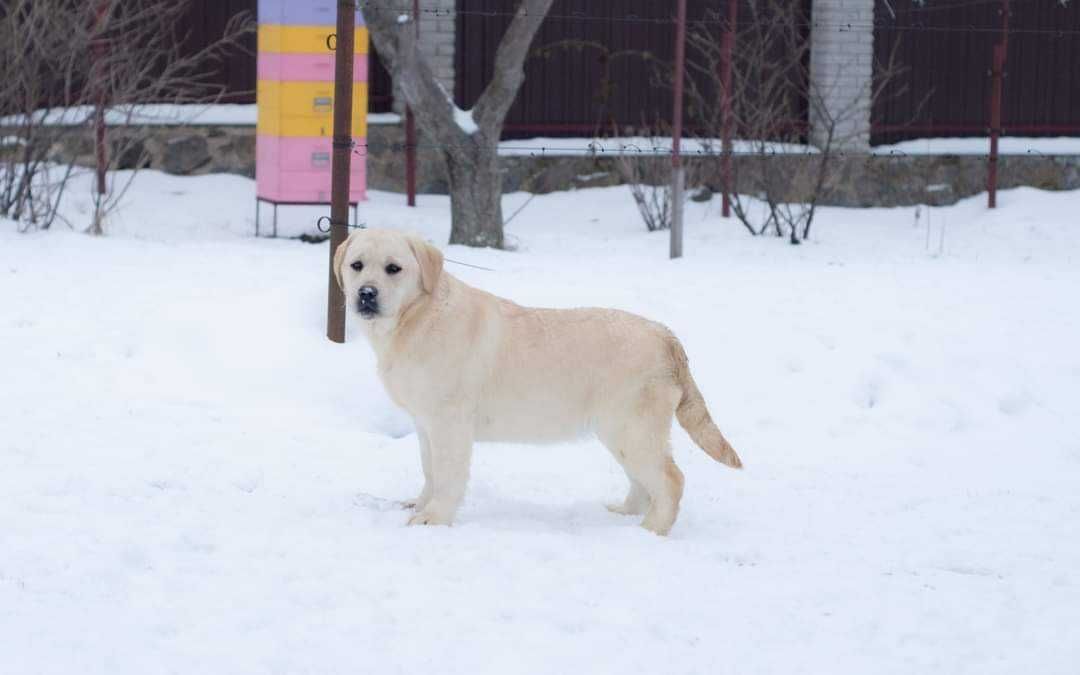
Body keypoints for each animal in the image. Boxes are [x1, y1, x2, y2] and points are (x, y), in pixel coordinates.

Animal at [334, 228, 743, 533]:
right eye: (357, 266)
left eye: (393, 268)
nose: (365, 294)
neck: (417, 316)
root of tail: (665, 334)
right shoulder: (425, 425)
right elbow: (430, 471)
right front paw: (419, 505)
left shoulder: (450, 424)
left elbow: (448, 476)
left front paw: (433, 519)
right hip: (620, 432)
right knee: (645, 483)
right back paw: (624, 514)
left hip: (630, 428)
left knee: (671, 480)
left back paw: (649, 531)